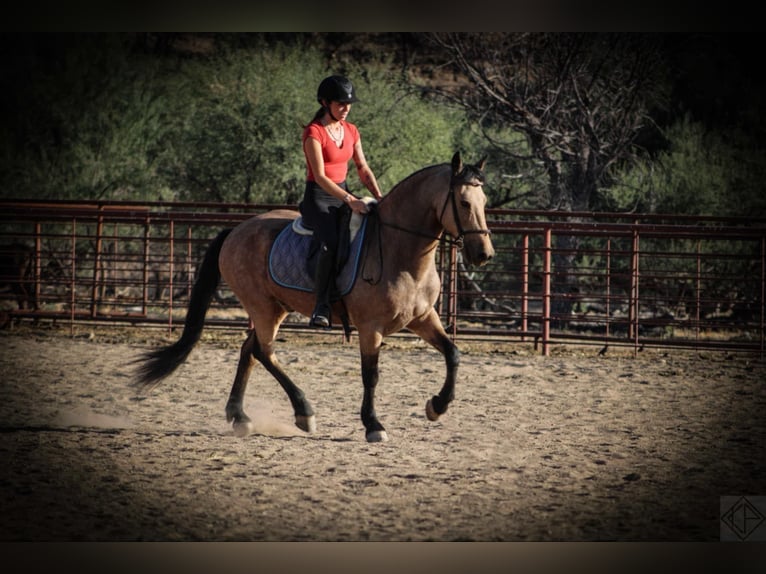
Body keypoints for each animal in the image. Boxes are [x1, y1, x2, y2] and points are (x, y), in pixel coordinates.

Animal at [136, 151, 498, 444]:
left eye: (484, 204)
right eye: (464, 203)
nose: (484, 254)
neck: (399, 250)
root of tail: (236, 230)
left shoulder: (423, 318)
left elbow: (453, 354)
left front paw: (437, 406)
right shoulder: (370, 327)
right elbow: (371, 375)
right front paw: (373, 425)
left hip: (273, 308)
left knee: (250, 351)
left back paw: (240, 416)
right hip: (263, 307)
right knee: (263, 352)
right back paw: (303, 412)